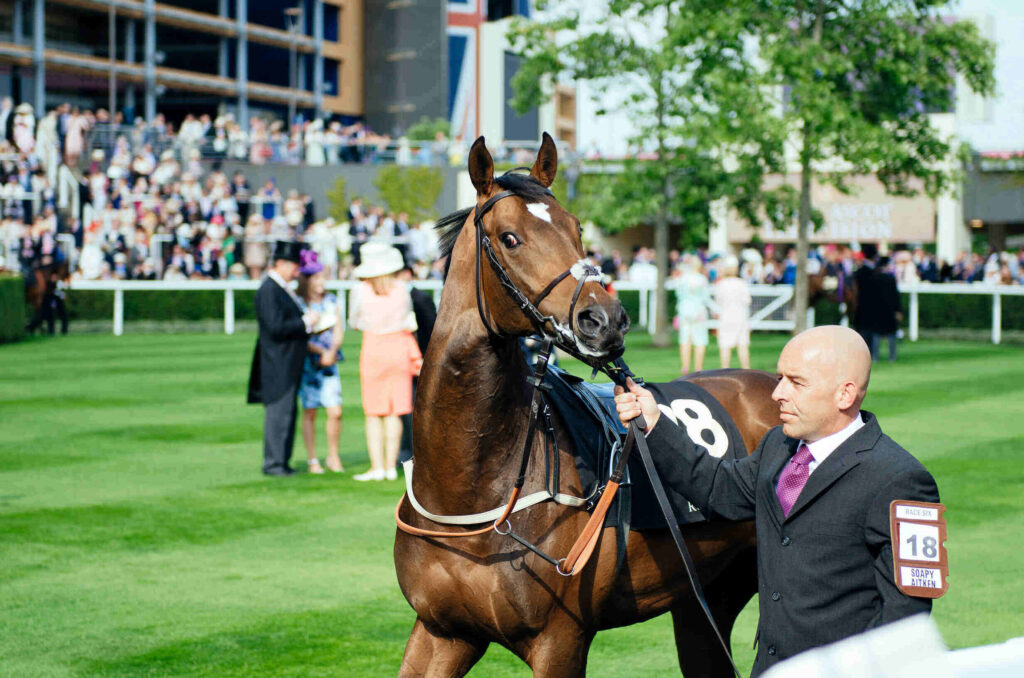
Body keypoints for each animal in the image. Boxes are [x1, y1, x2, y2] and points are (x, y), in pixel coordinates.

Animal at [393, 133, 780, 677]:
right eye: (510, 238)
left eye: (576, 228)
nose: (606, 320)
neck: (471, 487)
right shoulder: (442, 632)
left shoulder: (560, 640)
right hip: (703, 603)